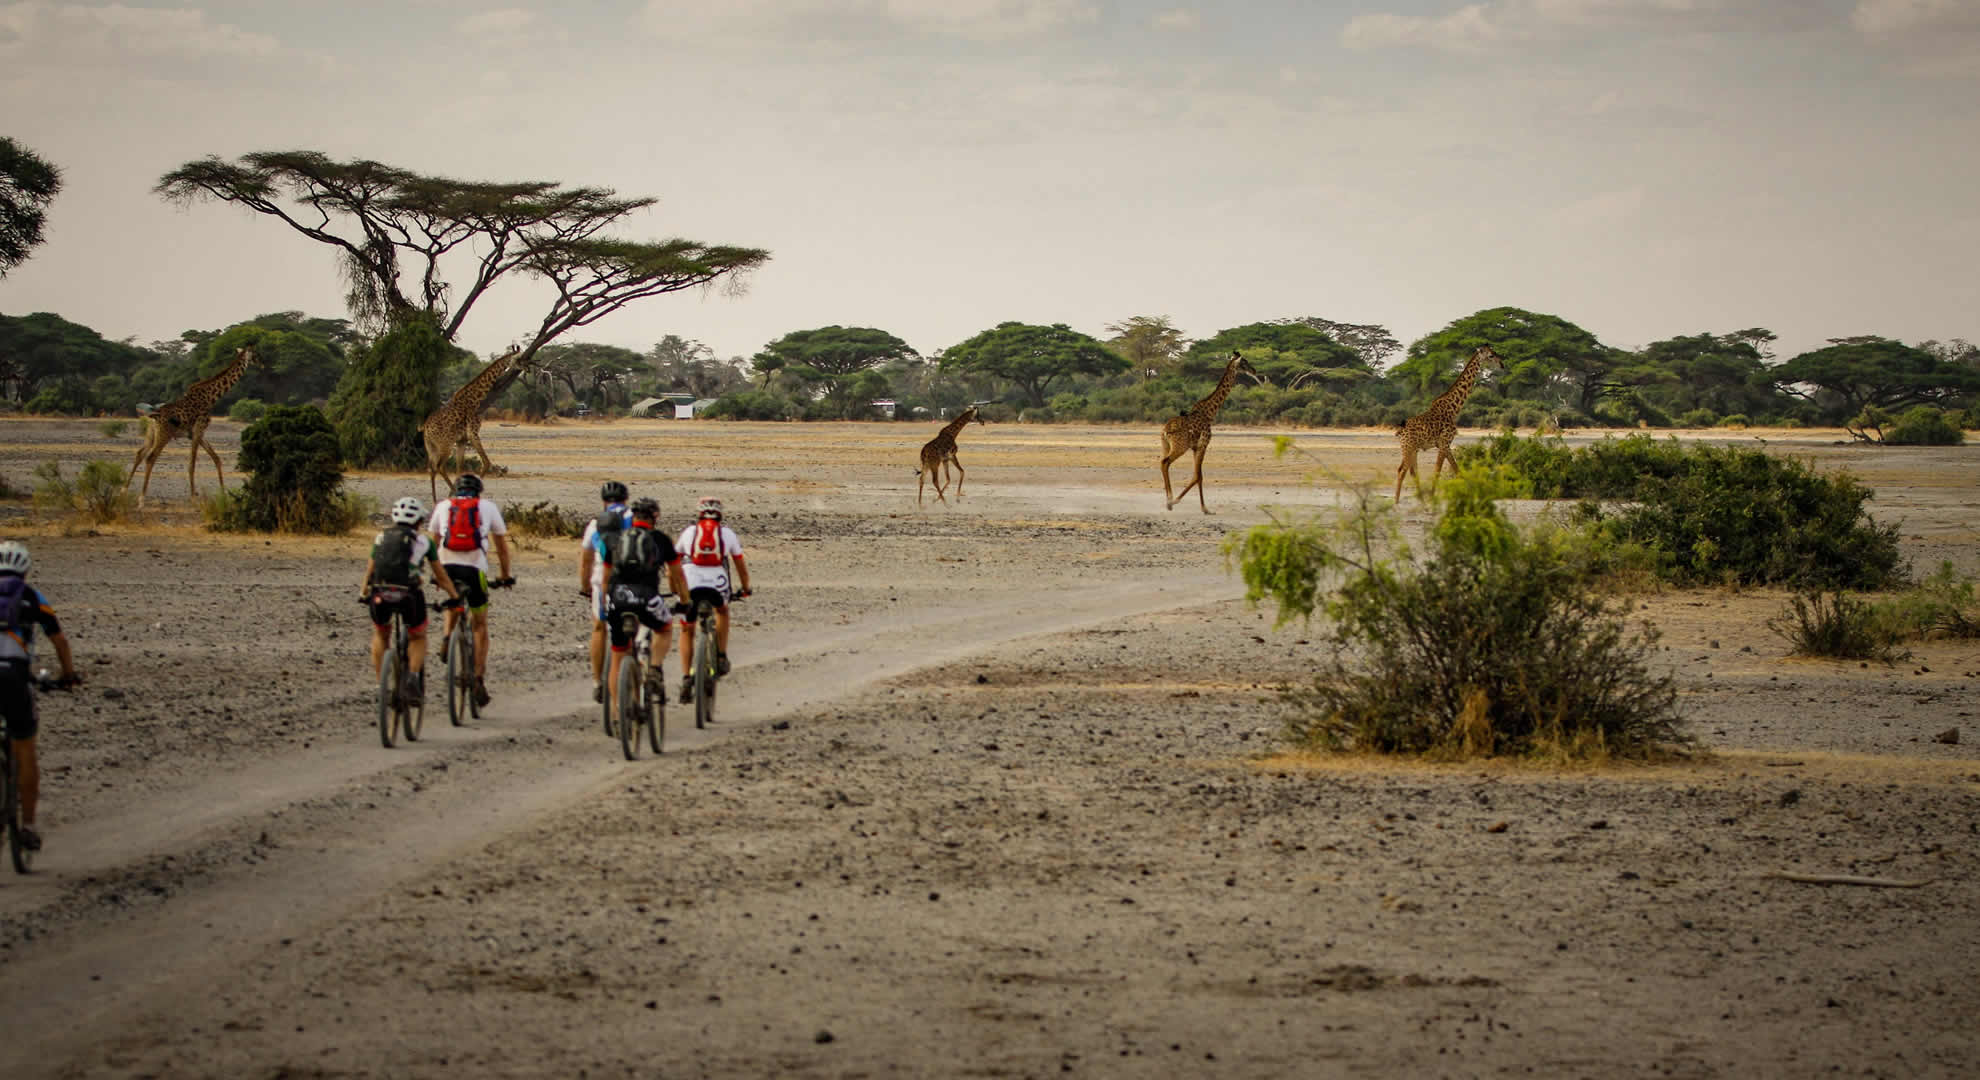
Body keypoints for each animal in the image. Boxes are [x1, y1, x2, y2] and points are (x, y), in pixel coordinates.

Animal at [125, 342, 263, 507]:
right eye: (255, 354)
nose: (262, 364)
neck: (212, 397)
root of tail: (153, 415)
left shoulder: (196, 433)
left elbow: (216, 459)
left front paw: (223, 494)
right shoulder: (198, 429)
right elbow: (192, 464)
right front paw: (193, 497)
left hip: (151, 434)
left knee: (140, 454)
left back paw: (123, 490)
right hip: (164, 434)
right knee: (150, 458)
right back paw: (141, 500)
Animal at [423, 340, 526, 501]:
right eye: (518, 359)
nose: (527, 366)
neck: (475, 399)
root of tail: (425, 429)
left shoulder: (462, 440)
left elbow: (460, 468)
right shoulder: (473, 433)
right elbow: (486, 463)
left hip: (432, 447)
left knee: (432, 468)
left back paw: (436, 500)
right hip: (445, 444)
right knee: (439, 467)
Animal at [1156, 348, 1259, 511]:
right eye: (1244, 362)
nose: (1254, 371)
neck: (1210, 412)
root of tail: (1166, 431)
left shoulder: (1195, 447)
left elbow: (1196, 475)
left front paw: (1200, 506)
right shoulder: (1203, 444)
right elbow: (1199, 476)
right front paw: (1205, 509)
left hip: (1165, 445)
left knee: (1163, 463)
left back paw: (1168, 501)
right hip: (1180, 447)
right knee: (1165, 462)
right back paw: (1170, 500)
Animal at [1401, 340, 1504, 501]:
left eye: (1494, 352)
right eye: (1491, 355)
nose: (1502, 364)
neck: (1453, 409)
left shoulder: (1445, 445)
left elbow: (1456, 469)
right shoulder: (1444, 442)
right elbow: (1441, 469)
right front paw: (1433, 497)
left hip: (1413, 449)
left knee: (1410, 470)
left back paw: (1417, 498)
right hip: (1410, 448)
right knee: (1406, 470)